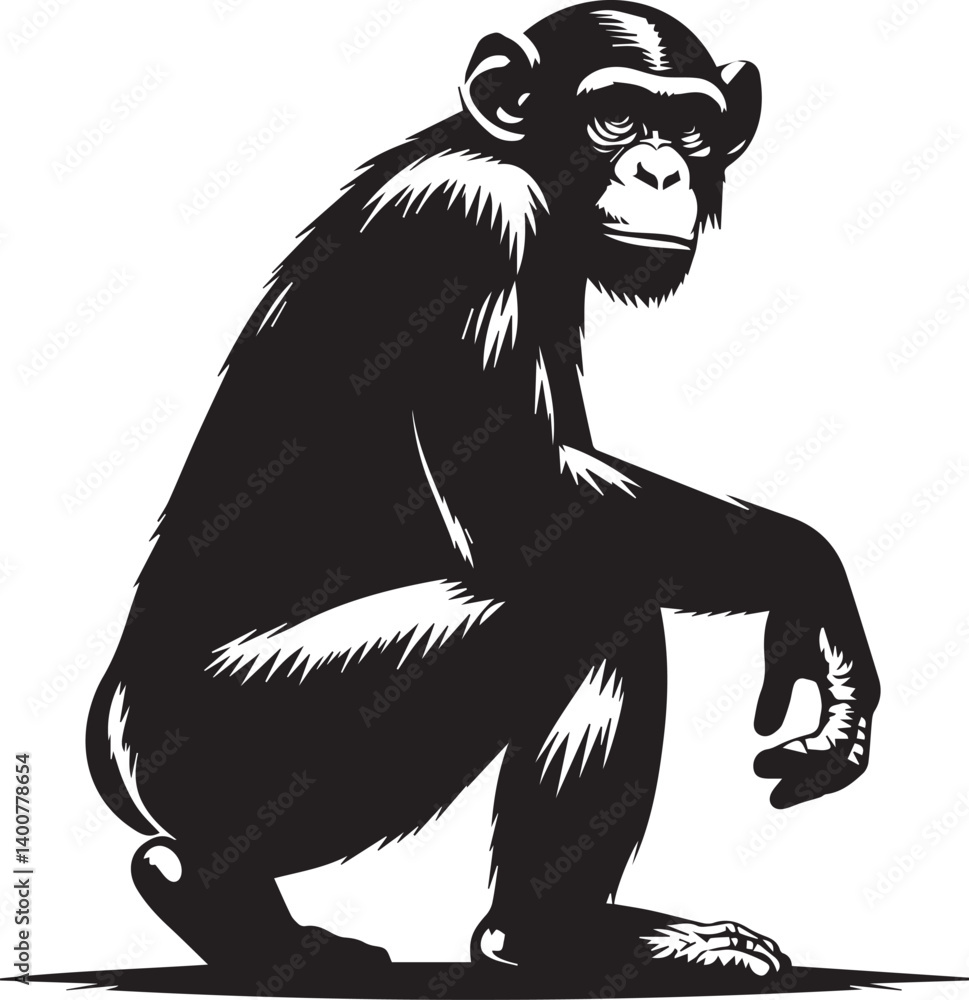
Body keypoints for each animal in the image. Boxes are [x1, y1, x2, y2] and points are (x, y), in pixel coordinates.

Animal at [86, 2, 880, 986]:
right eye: (616, 116)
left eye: (689, 126)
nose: (660, 168)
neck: (514, 159)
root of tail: (112, 741)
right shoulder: (474, 220)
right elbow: (528, 506)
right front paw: (812, 579)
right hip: (220, 744)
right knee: (566, 604)